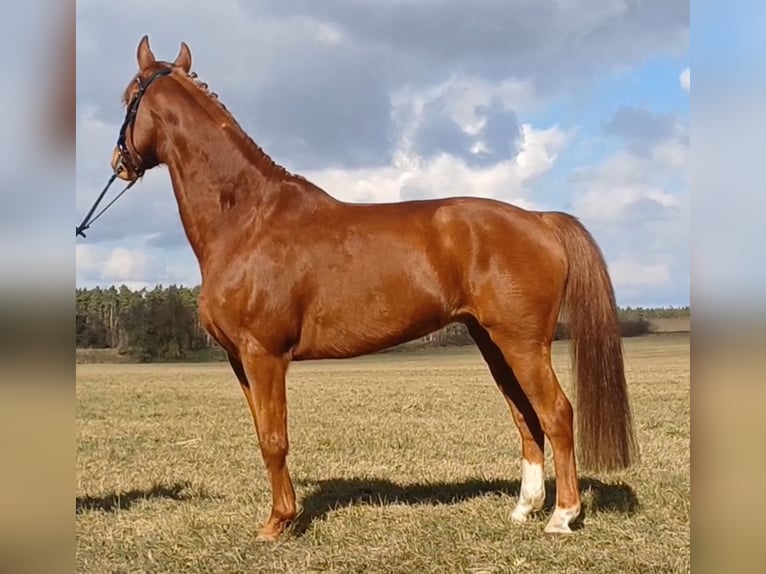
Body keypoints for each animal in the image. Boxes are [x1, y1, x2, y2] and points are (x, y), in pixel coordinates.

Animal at [106, 35, 637, 540]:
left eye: (128, 97)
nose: (119, 162)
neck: (247, 220)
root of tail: (540, 219)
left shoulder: (264, 355)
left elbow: (274, 440)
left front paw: (278, 524)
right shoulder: (242, 361)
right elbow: (263, 434)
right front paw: (281, 516)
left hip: (523, 344)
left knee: (557, 413)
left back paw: (562, 517)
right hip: (494, 343)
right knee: (526, 418)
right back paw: (525, 509)